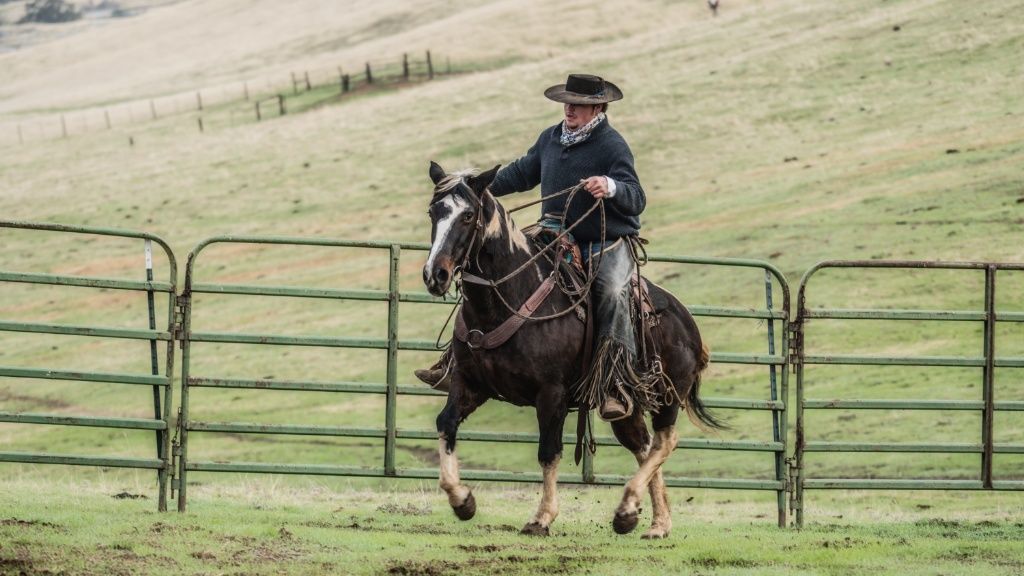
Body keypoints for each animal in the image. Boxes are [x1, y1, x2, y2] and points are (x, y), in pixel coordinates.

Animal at [417, 159, 720, 532]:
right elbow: (446, 424)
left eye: (468, 215)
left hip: (668, 395)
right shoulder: (469, 383)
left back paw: (635, 509)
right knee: (644, 445)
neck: (507, 299)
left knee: (665, 441)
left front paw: (542, 517)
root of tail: (688, 323)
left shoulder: (552, 393)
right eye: (434, 211)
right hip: (626, 405)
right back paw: (647, 519)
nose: (435, 274)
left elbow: (549, 451)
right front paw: (462, 500)